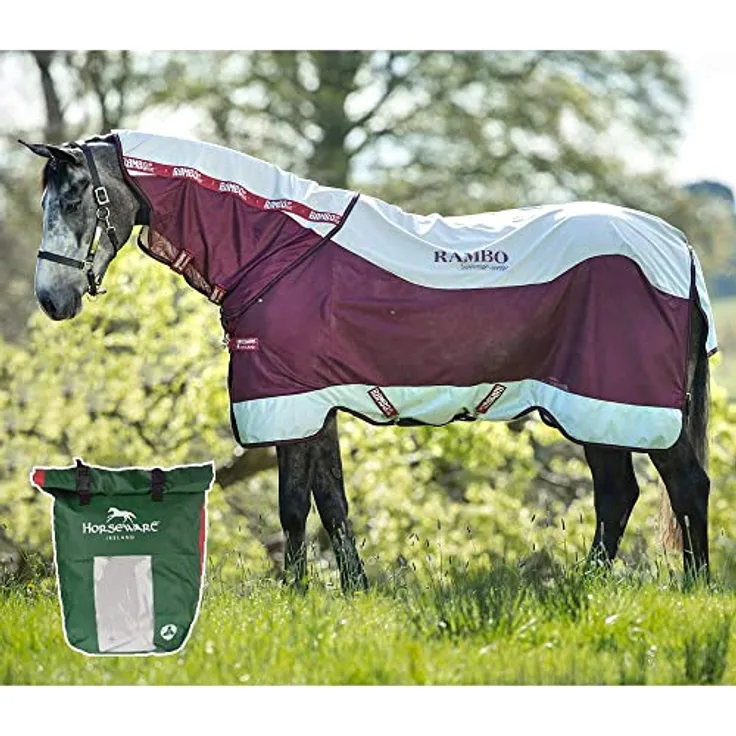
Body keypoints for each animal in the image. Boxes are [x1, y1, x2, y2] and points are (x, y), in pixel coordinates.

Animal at [20, 132, 714, 589]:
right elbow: (332, 502)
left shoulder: (287, 402)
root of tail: (678, 247)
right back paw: (590, 582)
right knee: (619, 493)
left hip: (628, 401)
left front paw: (296, 594)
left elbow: (293, 505)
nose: (51, 299)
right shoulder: (315, 404)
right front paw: (351, 588)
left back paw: (695, 586)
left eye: (77, 198)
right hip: (596, 406)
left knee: (685, 485)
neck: (277, 249)